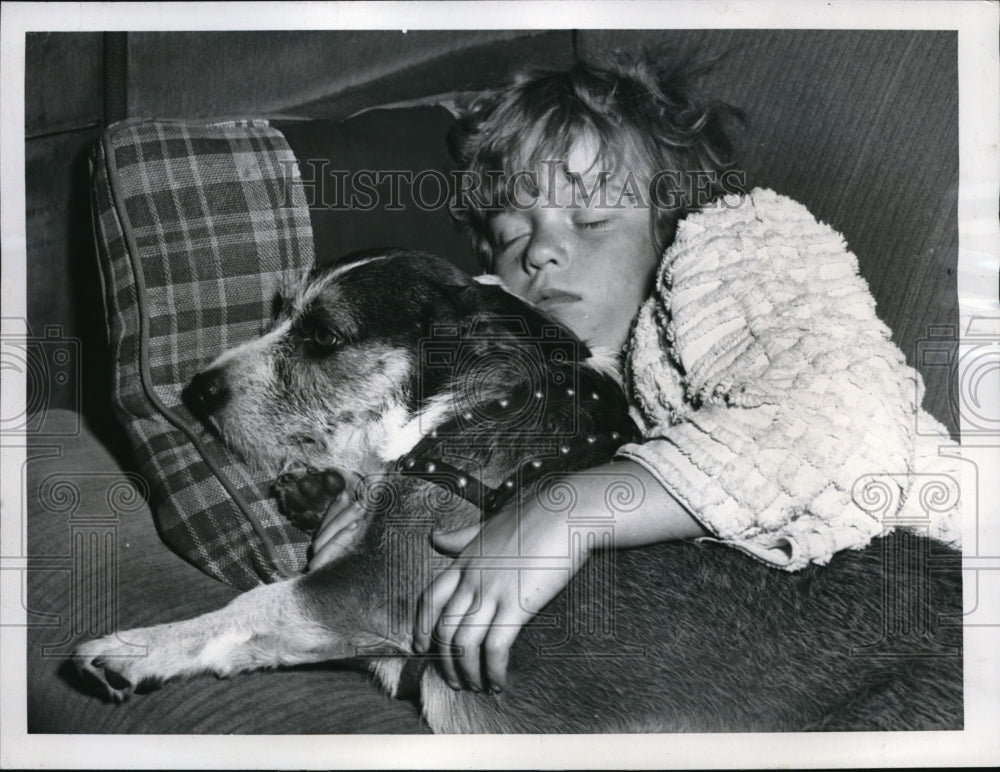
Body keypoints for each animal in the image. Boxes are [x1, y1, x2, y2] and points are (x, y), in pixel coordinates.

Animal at [70, 250, 960, 732]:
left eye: (321, 337)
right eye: (281, 314)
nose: (195, 394)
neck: (454, 420)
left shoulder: (374, 591)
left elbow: (252, 607)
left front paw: (132, 651)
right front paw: (314, 488)